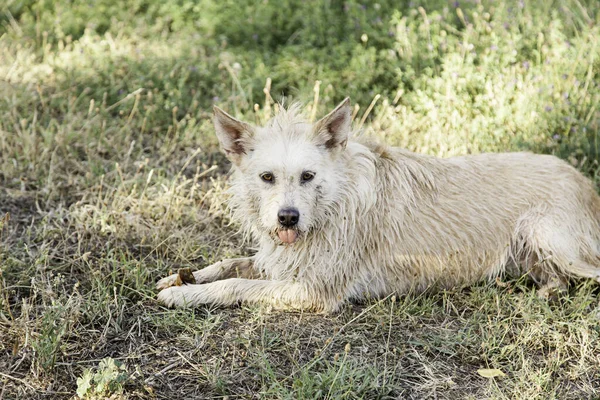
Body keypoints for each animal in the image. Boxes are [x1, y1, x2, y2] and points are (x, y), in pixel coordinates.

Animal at [156, 98, 600, 310]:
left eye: (308, 176)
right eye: (267, 177)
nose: (288, 218)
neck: (335, 202)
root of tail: (585, 183)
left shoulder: (313, 291)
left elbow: (237, 284)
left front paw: (185, 296)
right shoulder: (282, 262)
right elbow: (231, 263)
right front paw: (183, 278)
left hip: (542, 234)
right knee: (558, 279)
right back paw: (539, 294)